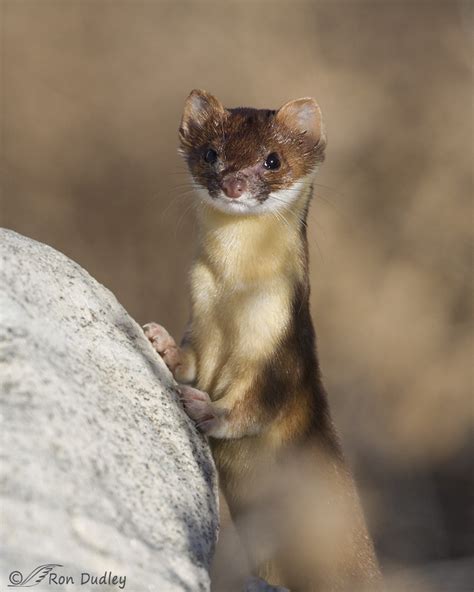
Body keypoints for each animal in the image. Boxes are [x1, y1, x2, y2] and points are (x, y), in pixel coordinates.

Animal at [144, 90, 382, 588]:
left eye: (272, 159)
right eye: (211, 153)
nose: (234, 184)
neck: (234, 299)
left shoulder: (282, 346)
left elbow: (257, 407)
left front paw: (205, 409)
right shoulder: (201, 315)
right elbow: (192, 361)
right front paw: (162, 343)